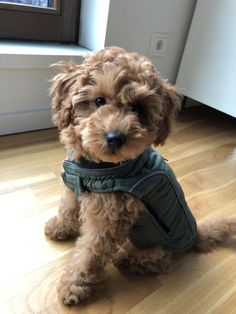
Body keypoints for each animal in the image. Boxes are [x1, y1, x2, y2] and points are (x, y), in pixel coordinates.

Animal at [44, 46, 236, 304]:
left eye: (139, 109)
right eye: (98, 101)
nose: (115, 137)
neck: (98, 168)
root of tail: (195, 233)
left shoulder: (109, 219)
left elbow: (90, 253)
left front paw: (74, 285)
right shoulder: (74, 183)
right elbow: (67, 207)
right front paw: (59, 228)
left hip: (155, 247)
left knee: (159, 261)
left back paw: (128, 259)